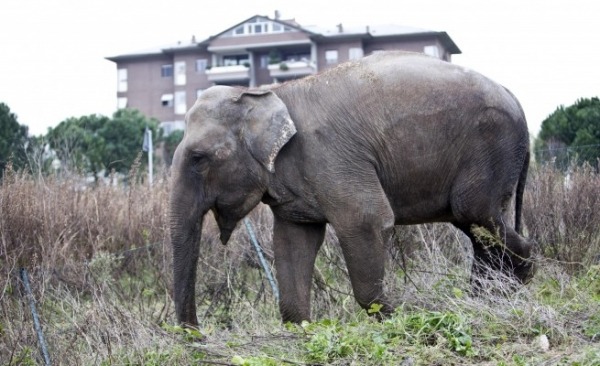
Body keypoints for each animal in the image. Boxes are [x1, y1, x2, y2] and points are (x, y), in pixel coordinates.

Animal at [170, 49, 536, 326]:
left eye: (199, 158)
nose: (197, 333)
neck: (271, 92)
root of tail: (516, 100)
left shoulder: (331, 157)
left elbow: (366, 221)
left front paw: (397, 316)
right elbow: (292, 241)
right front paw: (302, 327)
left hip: (491, 147)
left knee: (475, 213)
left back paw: (520, 280)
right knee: (476, 226)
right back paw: (485, 298)